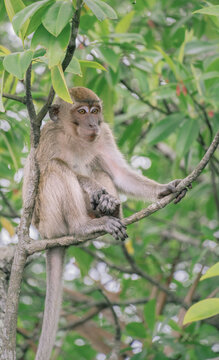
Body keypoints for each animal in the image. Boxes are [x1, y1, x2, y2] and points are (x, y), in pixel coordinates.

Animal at [22, 86, 187, 358]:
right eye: (81, 111)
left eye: (95, 110)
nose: (92, 123)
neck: (74, 137)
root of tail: (47, 237)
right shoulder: (47, 137)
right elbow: (40, 174)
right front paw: (93, 188)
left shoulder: (104, 135)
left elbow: (119, 173)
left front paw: (165, 189)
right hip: (48, 221)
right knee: (56, 168)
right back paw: (84, 226)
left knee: (100, 167)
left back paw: (111, 214)